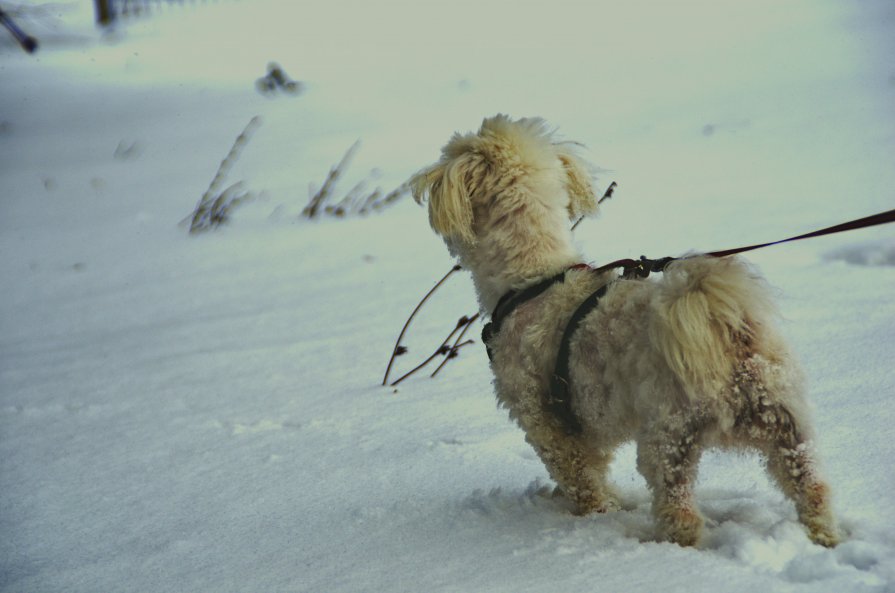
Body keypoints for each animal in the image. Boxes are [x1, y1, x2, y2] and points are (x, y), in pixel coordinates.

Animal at [412, 114, 840, 544]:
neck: (536, 278)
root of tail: (731, 340)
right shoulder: (586, 425)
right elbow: (596, 465)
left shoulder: (546, 420)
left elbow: (580, 477)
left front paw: (594, 512)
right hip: (786, 422)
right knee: (812, 485)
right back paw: (824, 536)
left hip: (668, 437)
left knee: (681, 511)